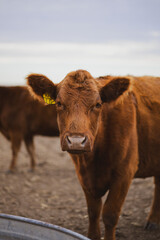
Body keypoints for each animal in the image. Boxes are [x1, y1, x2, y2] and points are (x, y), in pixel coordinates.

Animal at [26, 70, 160, 240]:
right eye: (59, 103)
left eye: (97, 104)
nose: (76, 141)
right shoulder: (84, 176)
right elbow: (93, 211)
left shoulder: (125, 173)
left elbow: (110, 214)